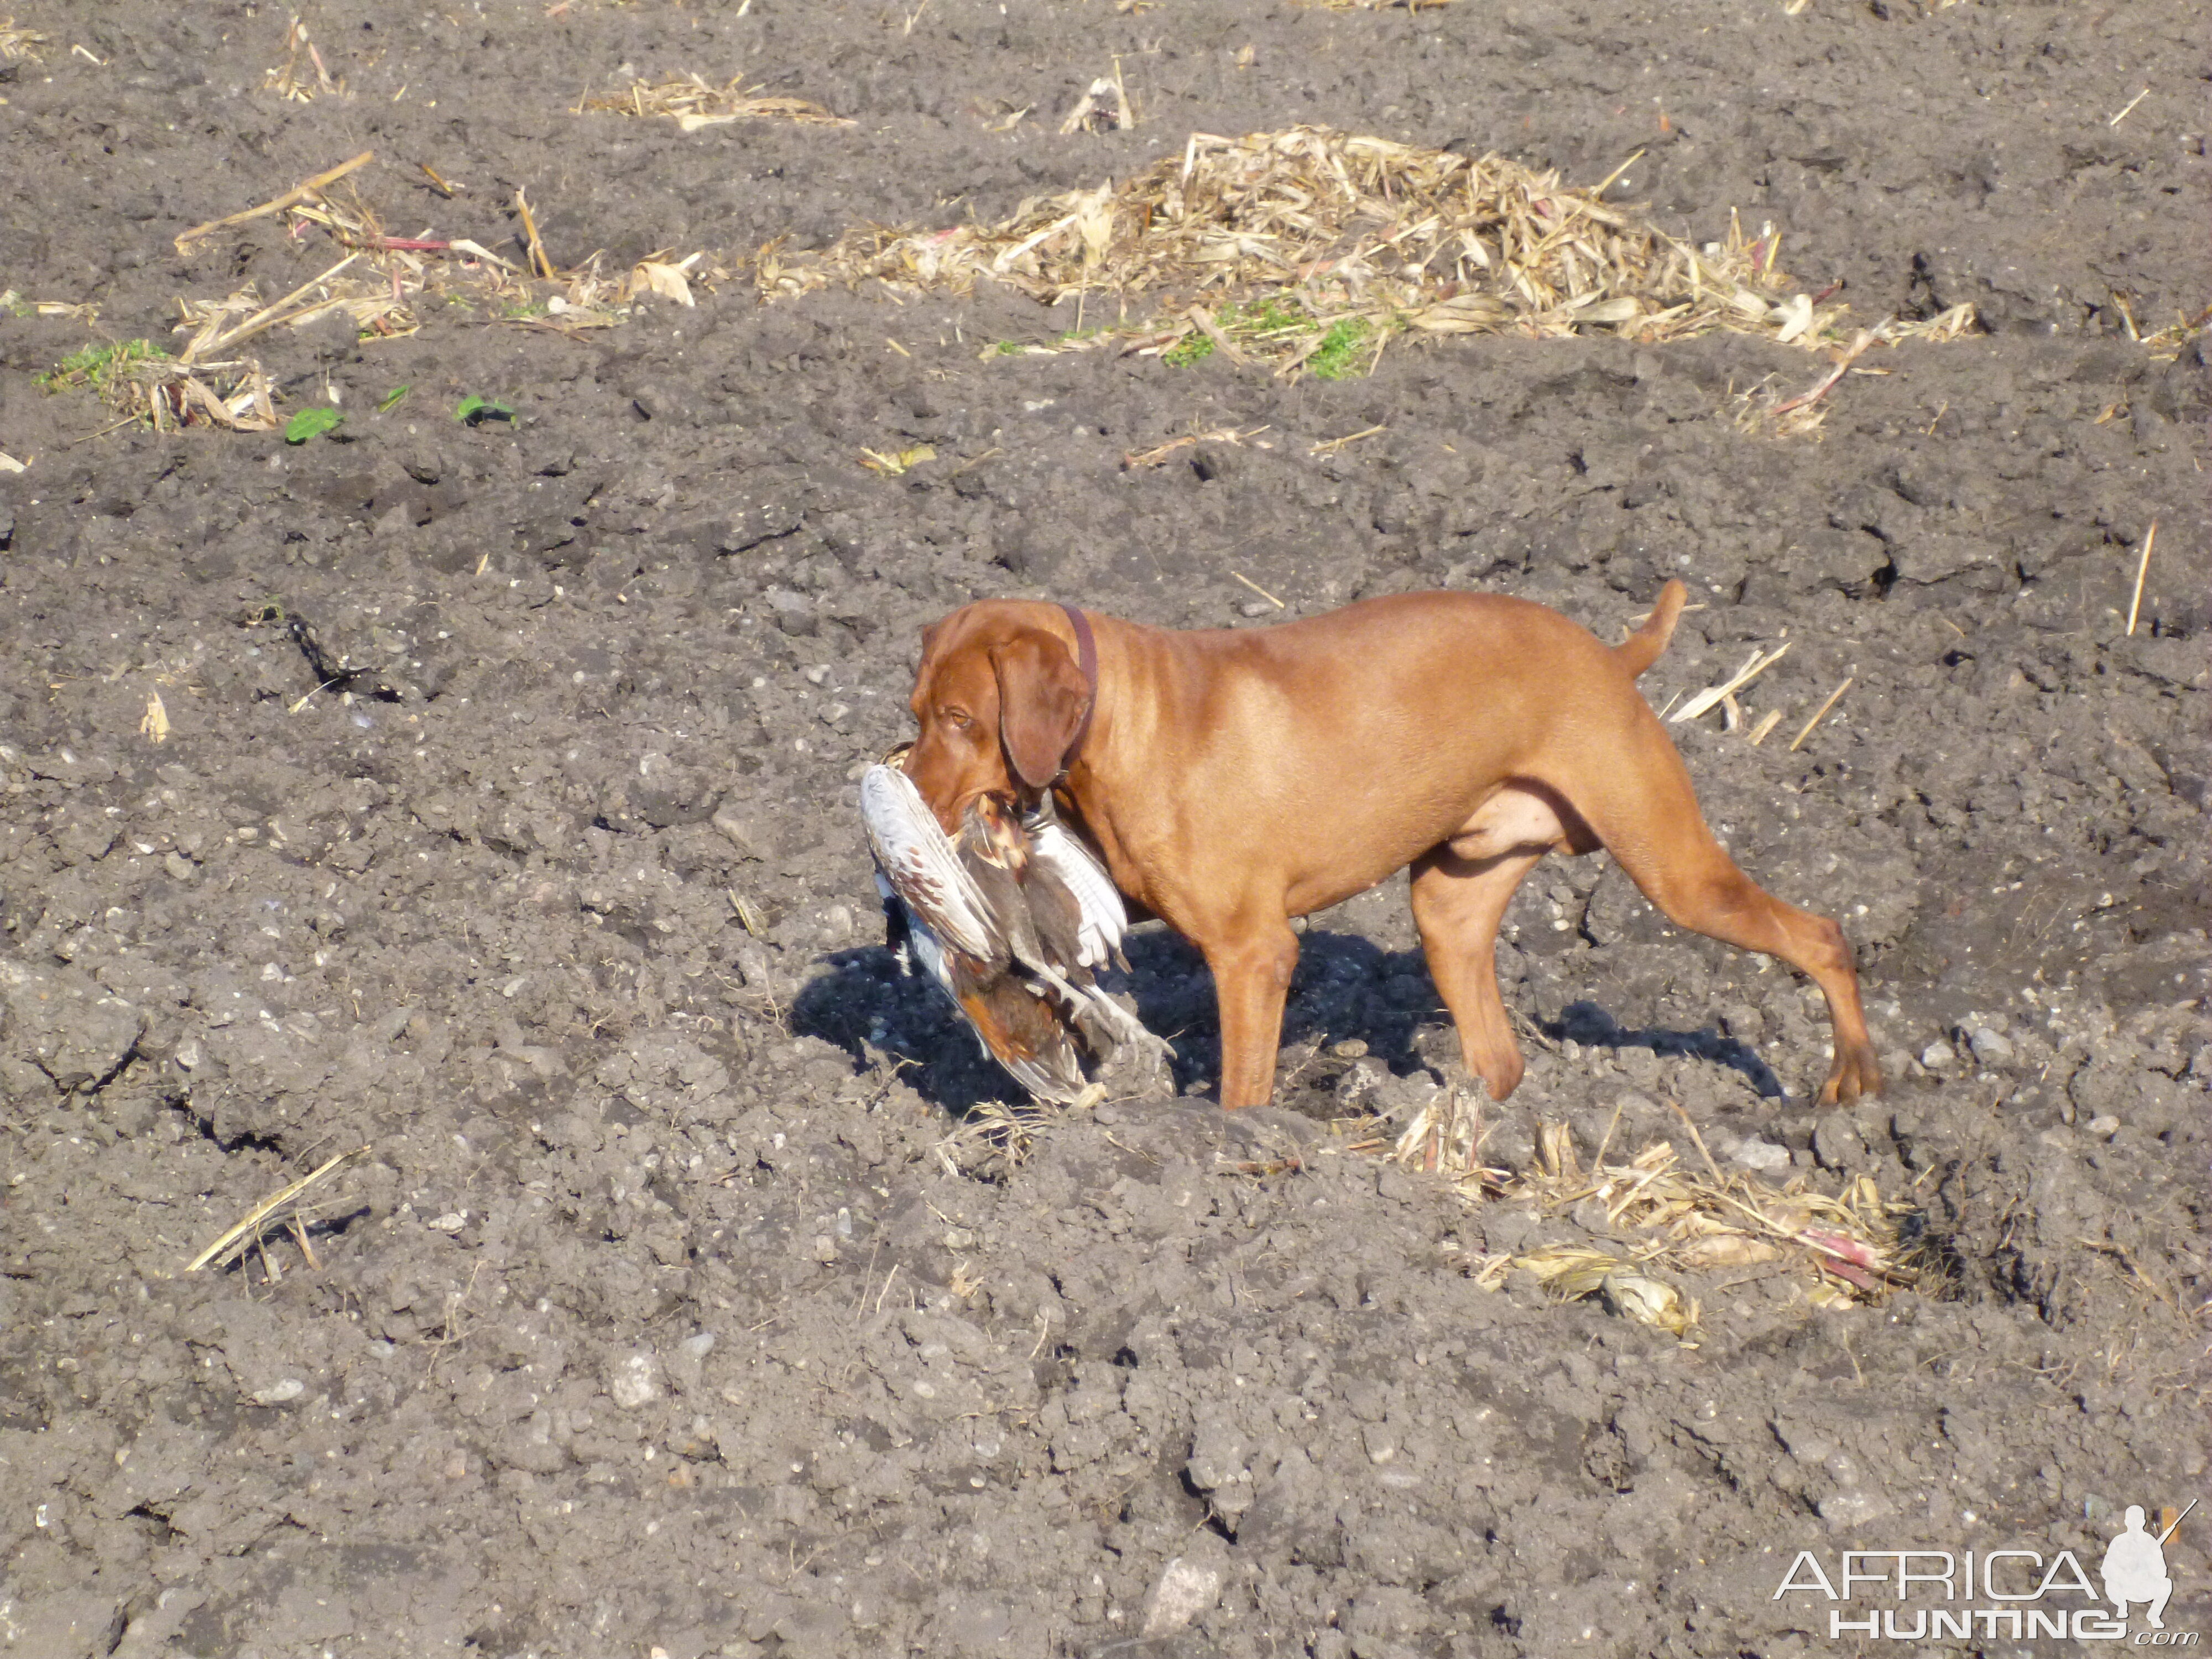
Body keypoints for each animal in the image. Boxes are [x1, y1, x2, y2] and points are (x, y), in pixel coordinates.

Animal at [898, 588, 1885, 1119]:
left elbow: (1242, 1088)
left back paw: (1853, 1077)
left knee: (1823, 935)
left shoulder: (1254, 953)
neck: (1128, 713)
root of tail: (1608, 655)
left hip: (1675, 872)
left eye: (960, 718)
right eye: (918, 712)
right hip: (1449, 910)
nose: (905, 791)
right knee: (1500, 1059)